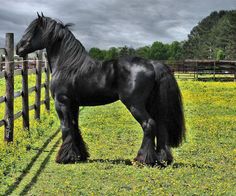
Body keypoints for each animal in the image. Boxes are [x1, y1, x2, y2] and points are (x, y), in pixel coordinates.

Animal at [16, 13, 186, 167]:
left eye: (33, 30)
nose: (18, 48)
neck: (68, 66)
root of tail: (152, 64)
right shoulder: (74, 104)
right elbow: (74, 126)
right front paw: (79, 155)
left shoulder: (62, 102)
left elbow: (66, 127)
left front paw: (64, 158)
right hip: (151, 104)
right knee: (161, 126)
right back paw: (162, 159)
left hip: (134, 104)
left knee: (149, 124)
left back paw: (143, 159)